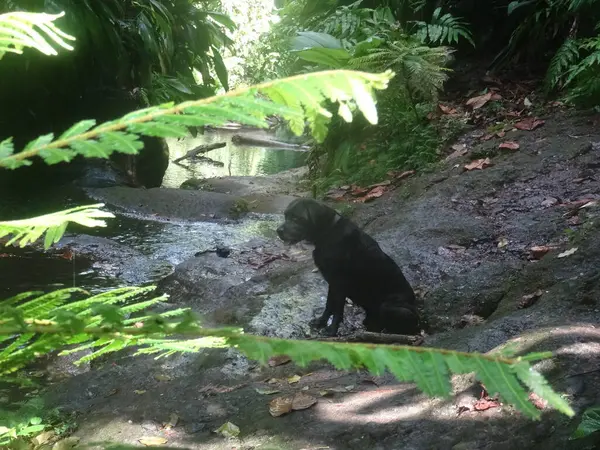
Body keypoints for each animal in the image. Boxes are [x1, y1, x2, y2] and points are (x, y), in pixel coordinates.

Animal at [276, 199, 420, 336]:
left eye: (296, 218)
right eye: (285, 215)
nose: (278, 231)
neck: (328, 232)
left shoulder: (339, 283)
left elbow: (338, 309)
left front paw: (331, 330)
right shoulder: (332, 282)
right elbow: (328, 305)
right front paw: (321, 322)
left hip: (389, 307)